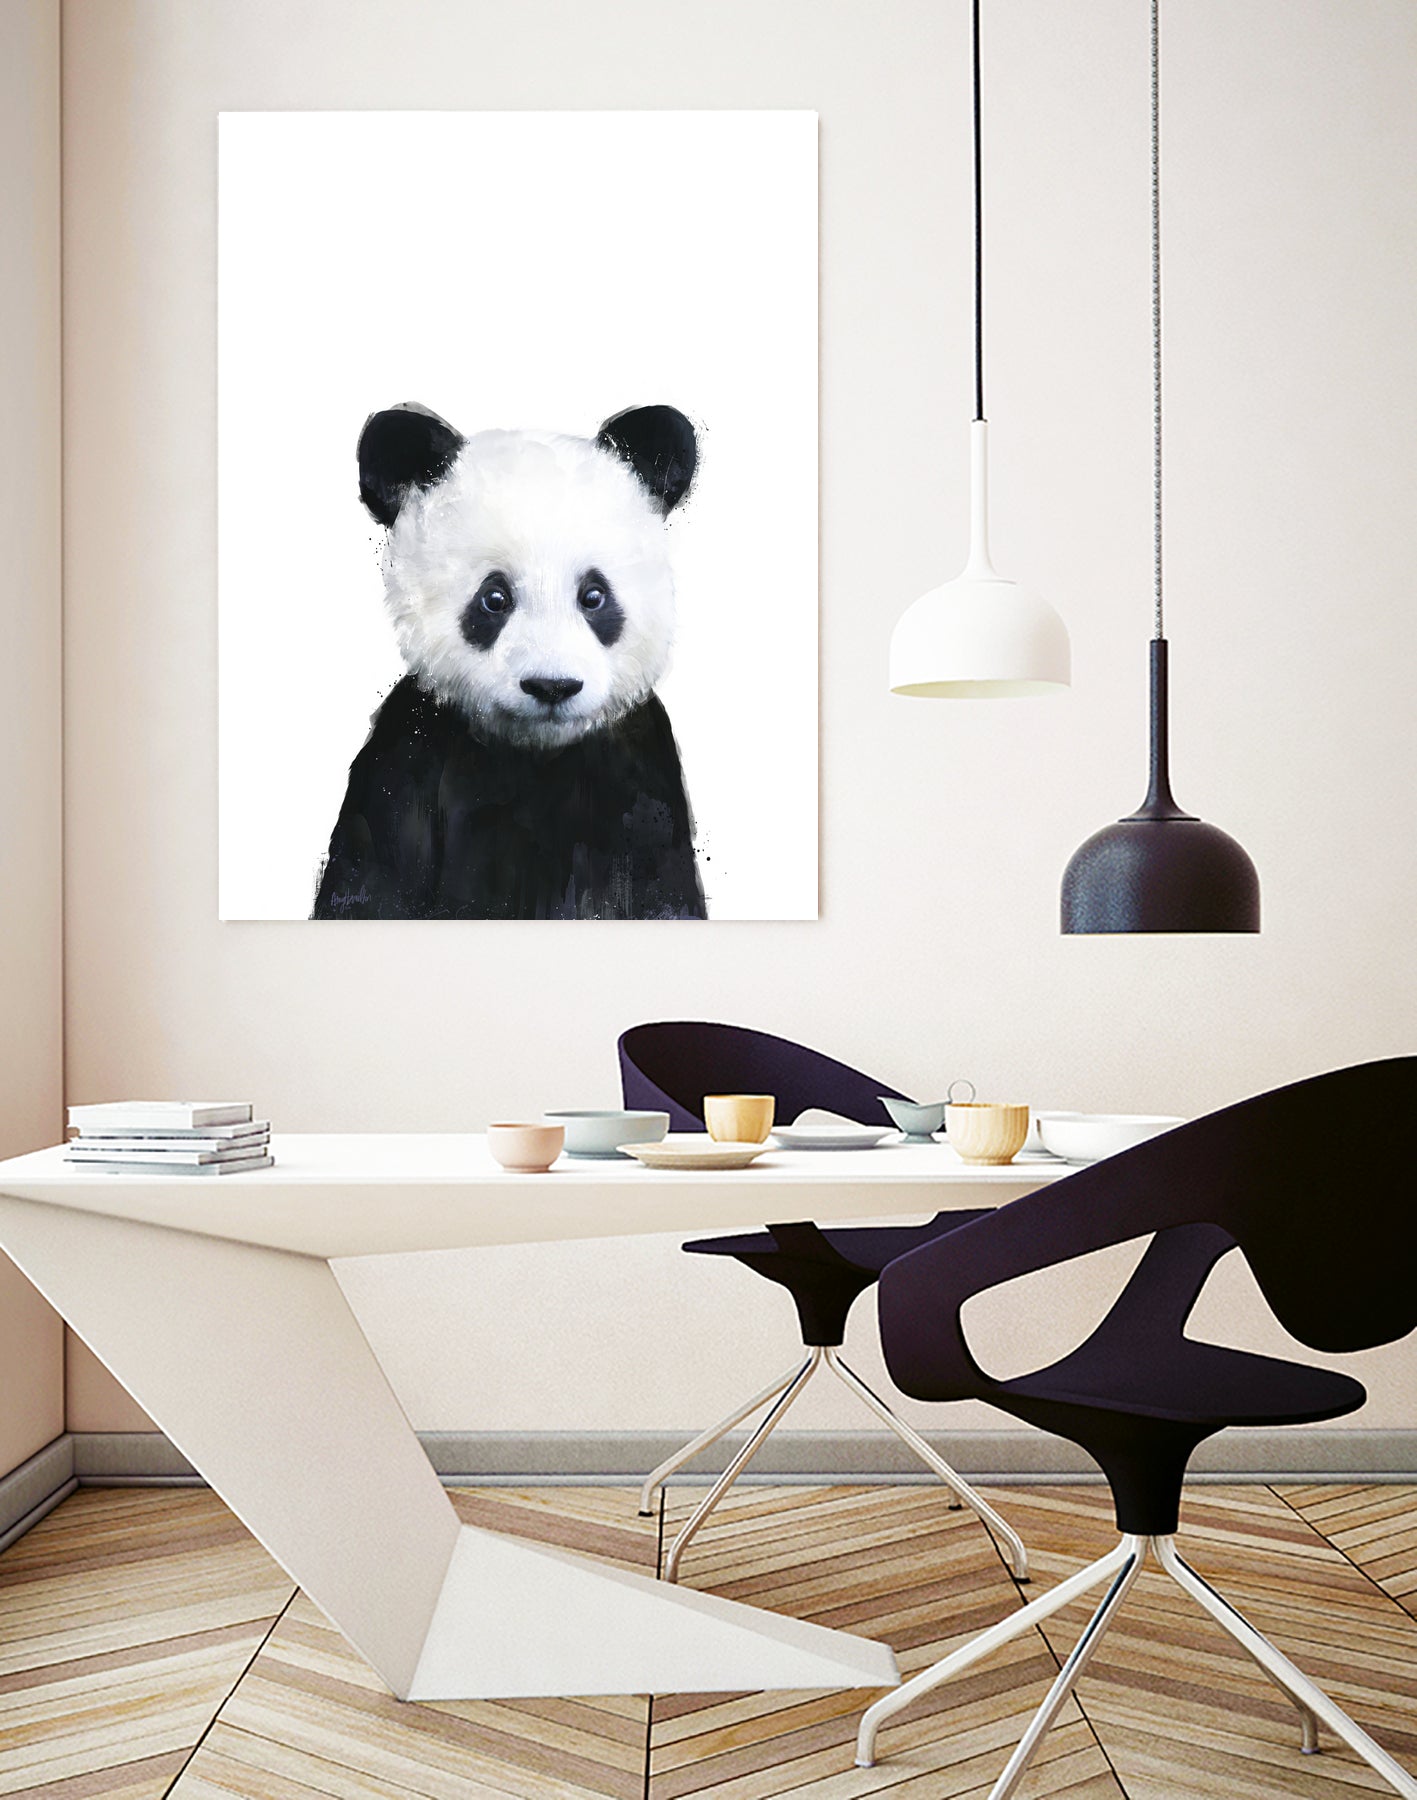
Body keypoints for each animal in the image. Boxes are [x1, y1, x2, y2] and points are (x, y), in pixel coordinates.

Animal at [312, 402, 707, 920]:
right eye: (494, 598)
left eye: (594, 596)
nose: (552, 686)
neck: (535, 753)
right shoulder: (407, 758)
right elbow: (372, 882)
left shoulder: (640, 775)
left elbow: (662, 891)